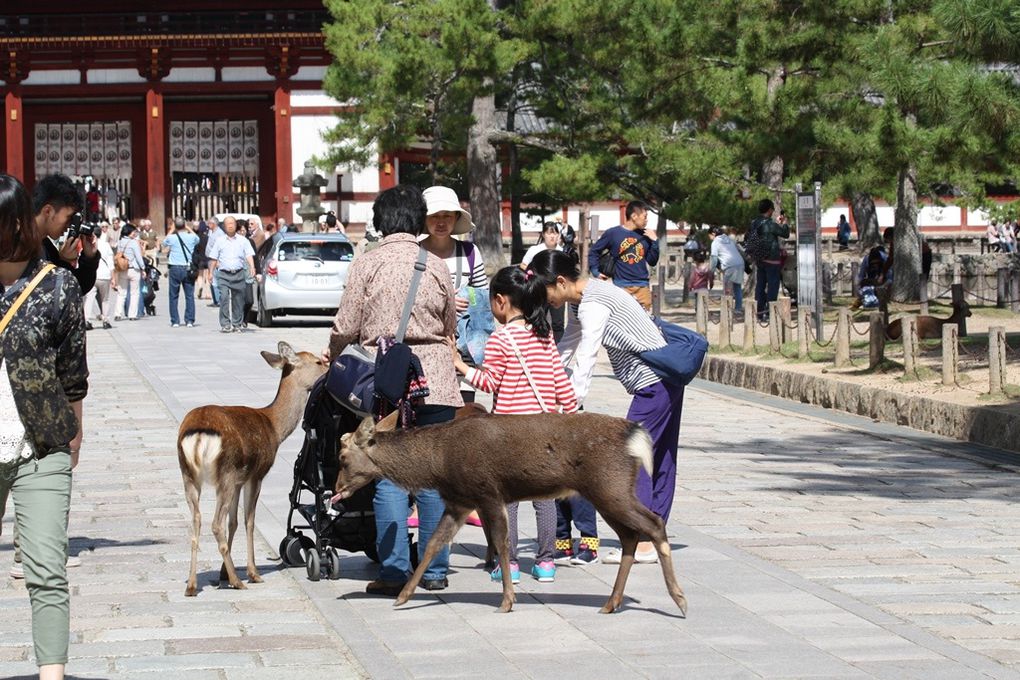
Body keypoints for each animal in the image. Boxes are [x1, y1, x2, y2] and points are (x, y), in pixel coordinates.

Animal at [175, 340, 326, 595]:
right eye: (317, 361)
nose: (331, 366)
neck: (274, 428)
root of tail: (198, 434)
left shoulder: (239, 479)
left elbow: (234, 521)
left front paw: (222, 574)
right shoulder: (256, 475)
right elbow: (249, 521)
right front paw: (253, 573)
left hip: (188, 475)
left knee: (196, 521)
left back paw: (192, 585)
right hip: (223, 473)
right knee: (215, 524)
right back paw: (238, 581)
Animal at [332, 409, 685, 615]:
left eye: (343, 458)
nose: (336, 491)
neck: (438, 464)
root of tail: (636, 437)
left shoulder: (488, 493)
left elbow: (502, 543)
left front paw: (507, 600)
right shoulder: (459, 502)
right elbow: (433, 543)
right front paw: (403, 597)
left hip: (609, 486)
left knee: (653, 524)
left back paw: (679, 599)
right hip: (609, 490)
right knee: (629, 535)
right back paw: (612, 603)